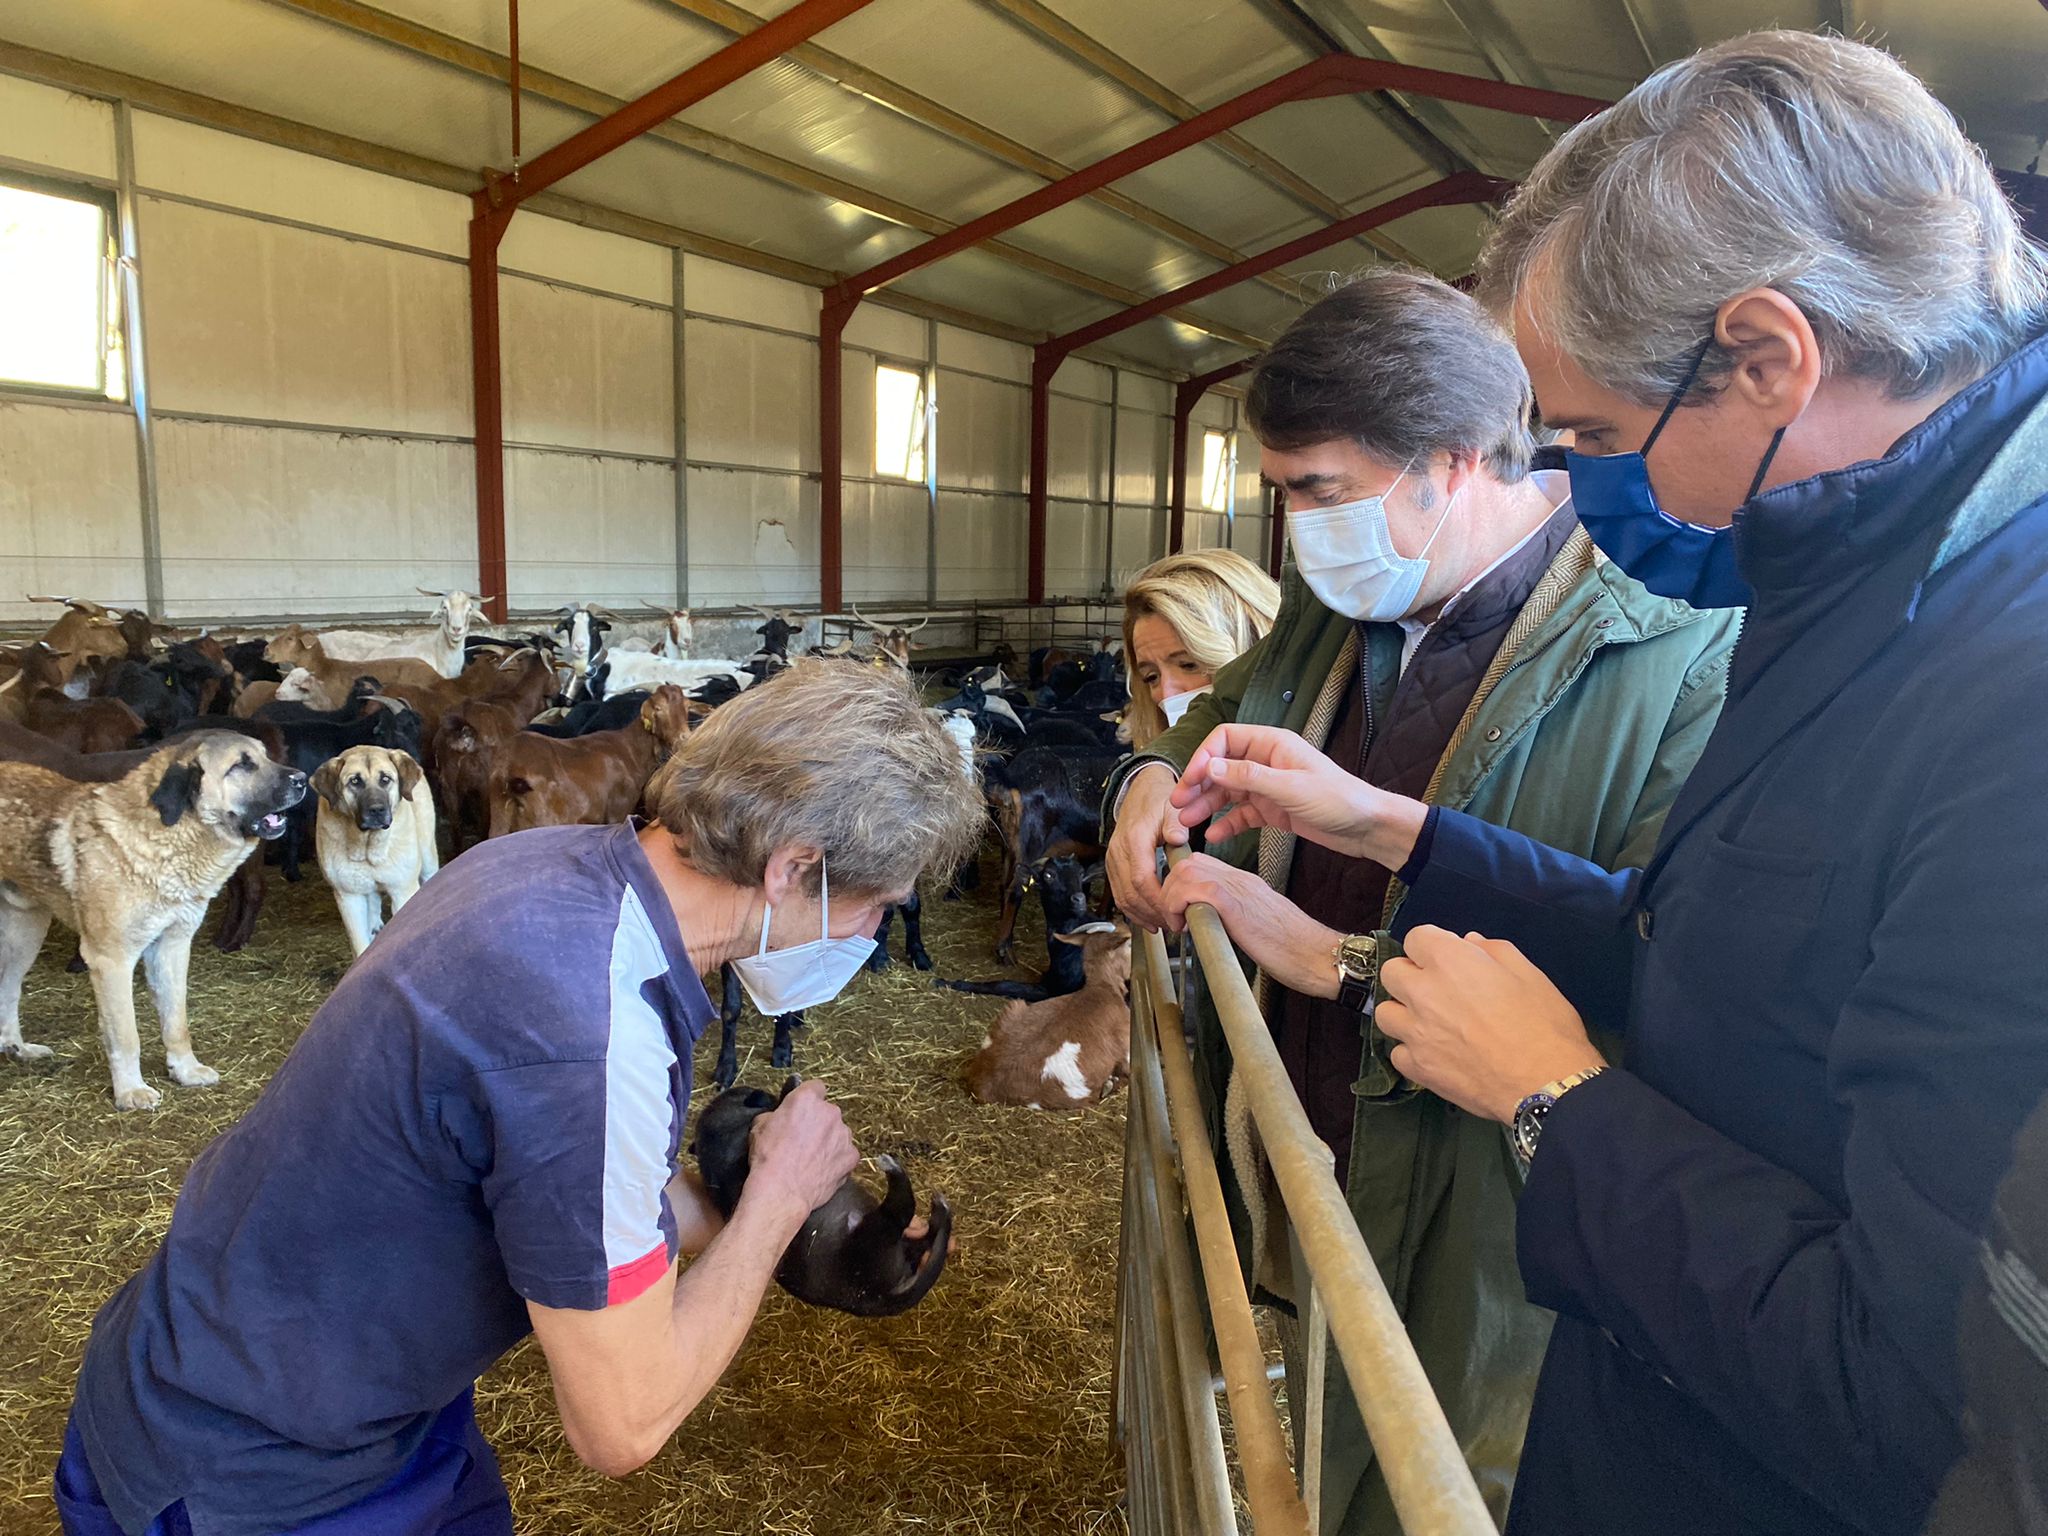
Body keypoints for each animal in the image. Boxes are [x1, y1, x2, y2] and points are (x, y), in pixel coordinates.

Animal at [0, 733, 307, 1105]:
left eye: (266, 756)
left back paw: (17, 1047)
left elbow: (177, 1023)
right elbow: (126, 1035)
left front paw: (185, 1070)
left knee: (8, 990)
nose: (303, 778)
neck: (169, 837)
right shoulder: (111, 960)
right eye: (242, 764)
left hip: (26, 935)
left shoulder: (172, 948)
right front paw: (130, 1090)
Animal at [487, 679, 696, 835]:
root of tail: (509, 770)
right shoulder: (617, 813)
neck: (630, 750)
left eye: (686, 706)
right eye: (658, 708)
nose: (684, 738)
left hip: (499, 821)